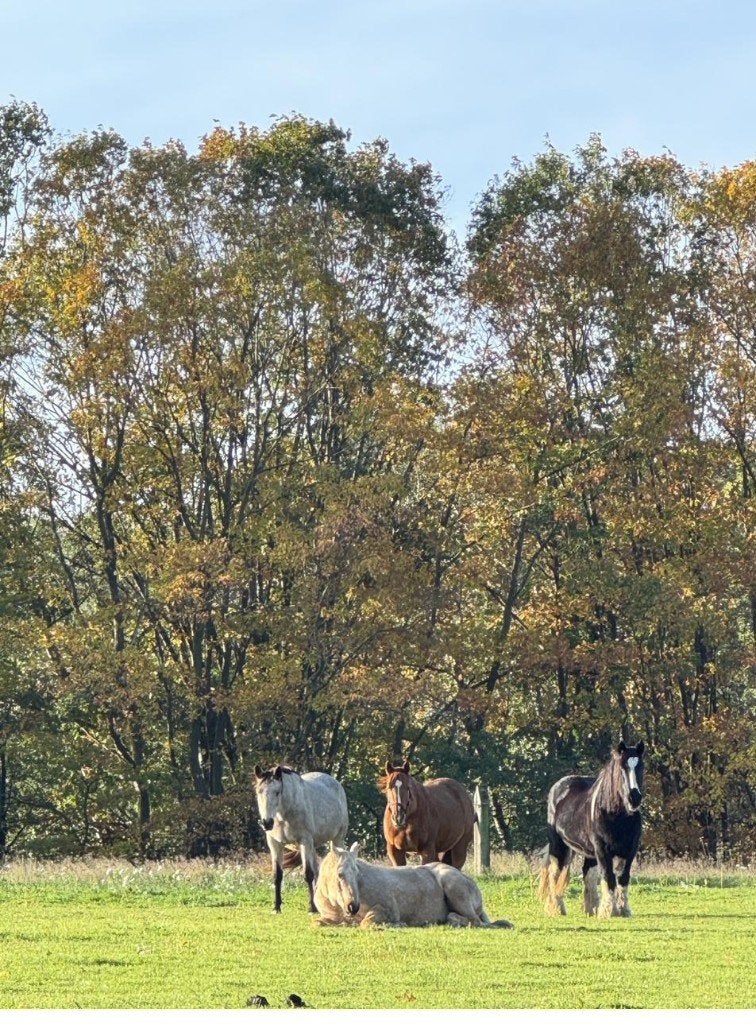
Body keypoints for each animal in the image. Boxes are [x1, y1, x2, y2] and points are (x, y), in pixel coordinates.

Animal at [254, 764, 349, 913]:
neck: (284, 814)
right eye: (259, 792)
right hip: (313, 846)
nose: (267, 822)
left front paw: (312, 908)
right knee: (317, 871)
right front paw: (276, 907)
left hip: (336, 840)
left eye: (277, 792)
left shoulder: (304, 841)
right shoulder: (275, 844)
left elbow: (308, 874)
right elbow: (277, 875)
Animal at [314, 841, 513, 928]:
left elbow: (366, 922)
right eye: (340, 874)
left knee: (475, 921)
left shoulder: (388, 909)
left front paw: (398, 924)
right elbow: (318, 922)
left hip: (455, 888)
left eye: (357, 873)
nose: (352, 906)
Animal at [539, 740, 645, 918]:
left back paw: (592, 909)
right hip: (558, 845)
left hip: (589, 852)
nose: (634, 798)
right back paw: (557, 908)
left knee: (588, 875)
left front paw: (623, 910)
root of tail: (559, 786)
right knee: (555, 873)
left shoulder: (630, 850)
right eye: (622, 767)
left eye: (641, 766)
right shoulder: (603, 850)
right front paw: (609, 911)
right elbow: (608, 877)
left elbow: (623, 878)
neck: (616, 816)